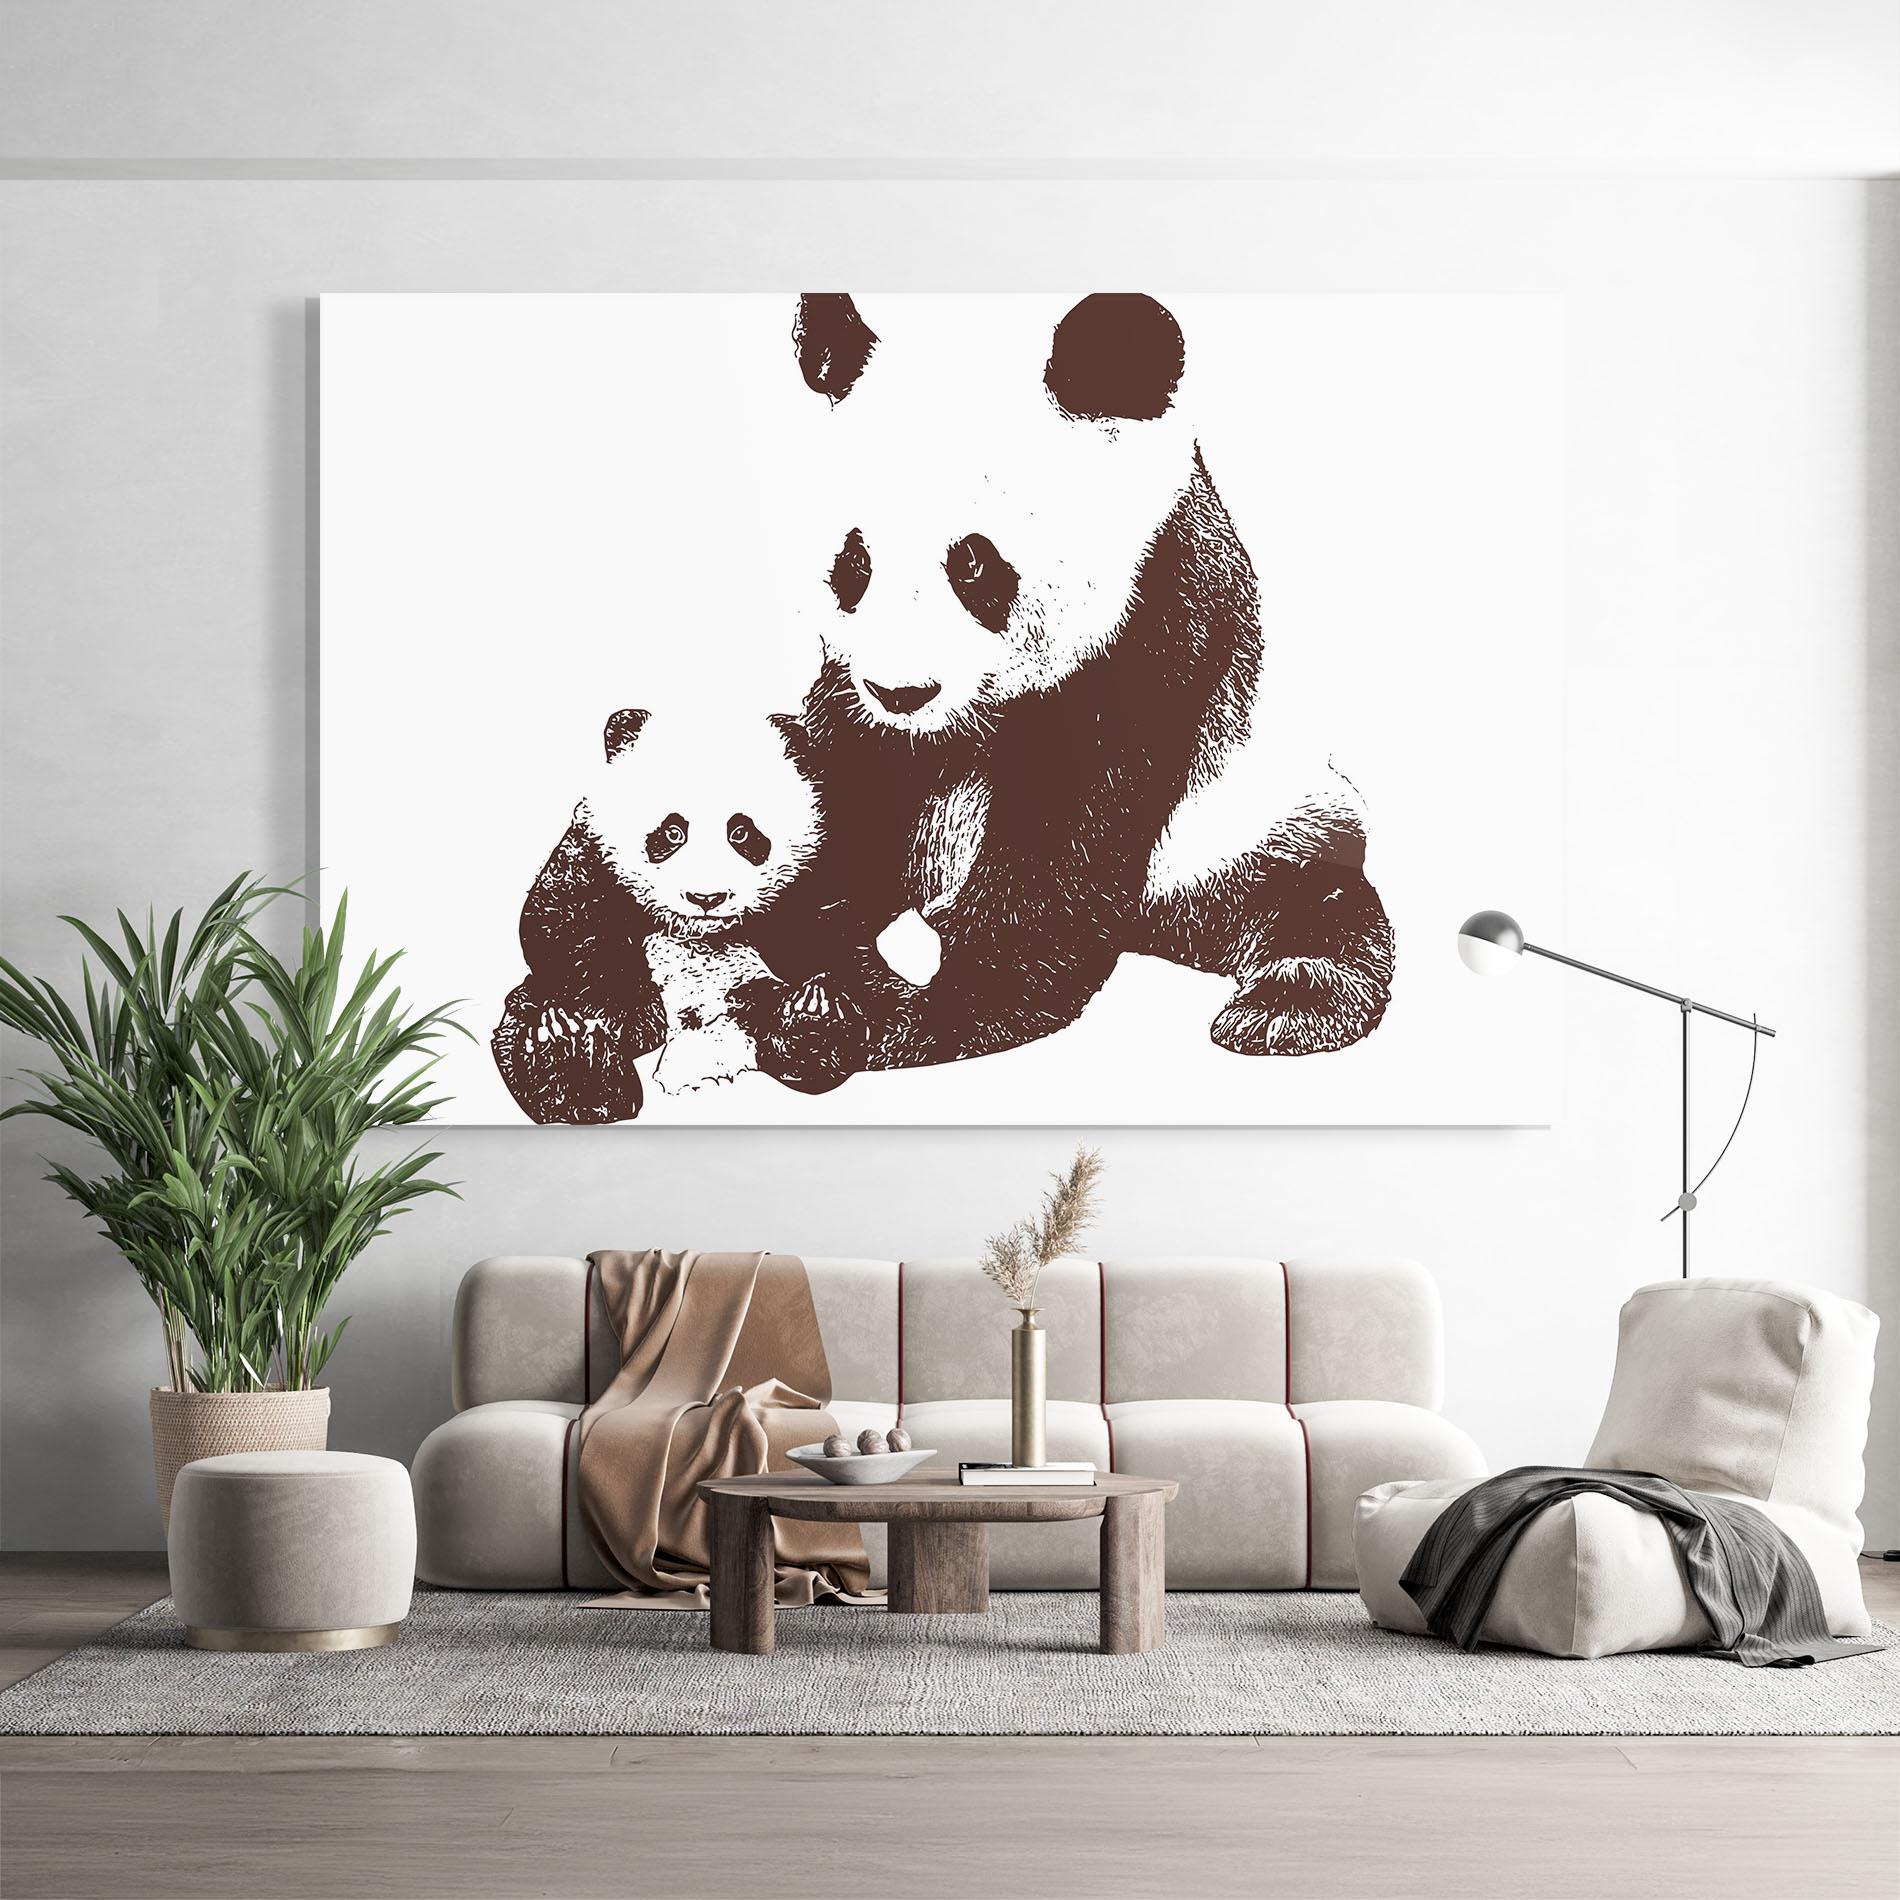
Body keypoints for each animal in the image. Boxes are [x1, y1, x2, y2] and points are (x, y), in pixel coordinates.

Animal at [492, 705, 865, 1122]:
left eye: (741, 832)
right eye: (672, 832)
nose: (706, 897)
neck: (698, 935)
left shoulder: (812, 879)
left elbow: (829, 941)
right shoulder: (593, 855)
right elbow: (562, 921)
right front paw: (636, 1018)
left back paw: (812, 1019)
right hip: (538, 1000)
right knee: (525, 1024)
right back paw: (571, 1056)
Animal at [746, 291, 1395, 1085]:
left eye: (974, 563)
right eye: (854, 563)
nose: (902, 692)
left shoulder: (1156, 633)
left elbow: (1062, 848)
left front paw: (905, 1014)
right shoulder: (850, 695)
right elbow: (844, 799)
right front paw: (822, 977)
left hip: (1256, 829)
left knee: (1318, 908)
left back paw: (1284, 1007)